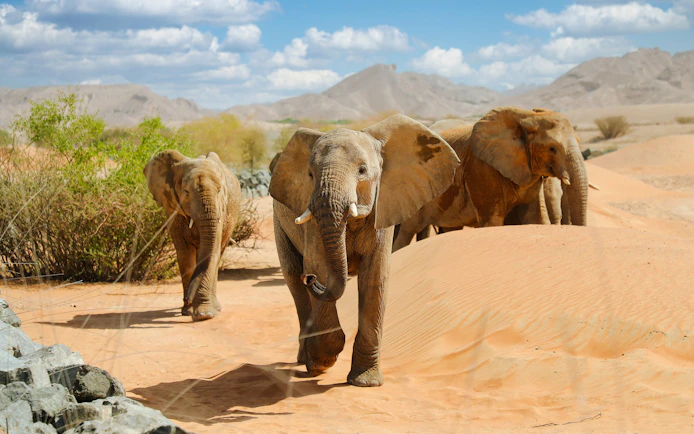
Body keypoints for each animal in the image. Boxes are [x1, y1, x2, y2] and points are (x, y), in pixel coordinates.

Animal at [144, 150, 242, 322]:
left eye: (219, 191)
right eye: (186, 193)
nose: (186, 299)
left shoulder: (220, 210)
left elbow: (211, 252)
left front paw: (204, 314)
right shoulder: (174, 210)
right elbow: (184, 253)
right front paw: (188, 311)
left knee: (217, 256)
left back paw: (216, 307)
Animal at [270, 114, 459, 386]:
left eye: (362, 171)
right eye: (310, 174)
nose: (311, 278)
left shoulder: (384, 204)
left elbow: (375, 277)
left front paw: (365, 382)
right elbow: (321, 267)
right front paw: (322, 363)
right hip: (279, 222)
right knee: (294, 282)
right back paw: (307, 360)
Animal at [393, 107, 588, 252]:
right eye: (552, 148)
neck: (527, 116)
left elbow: (534, 218)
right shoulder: (481, 168)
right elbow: (493, 222)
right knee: (407, 232)